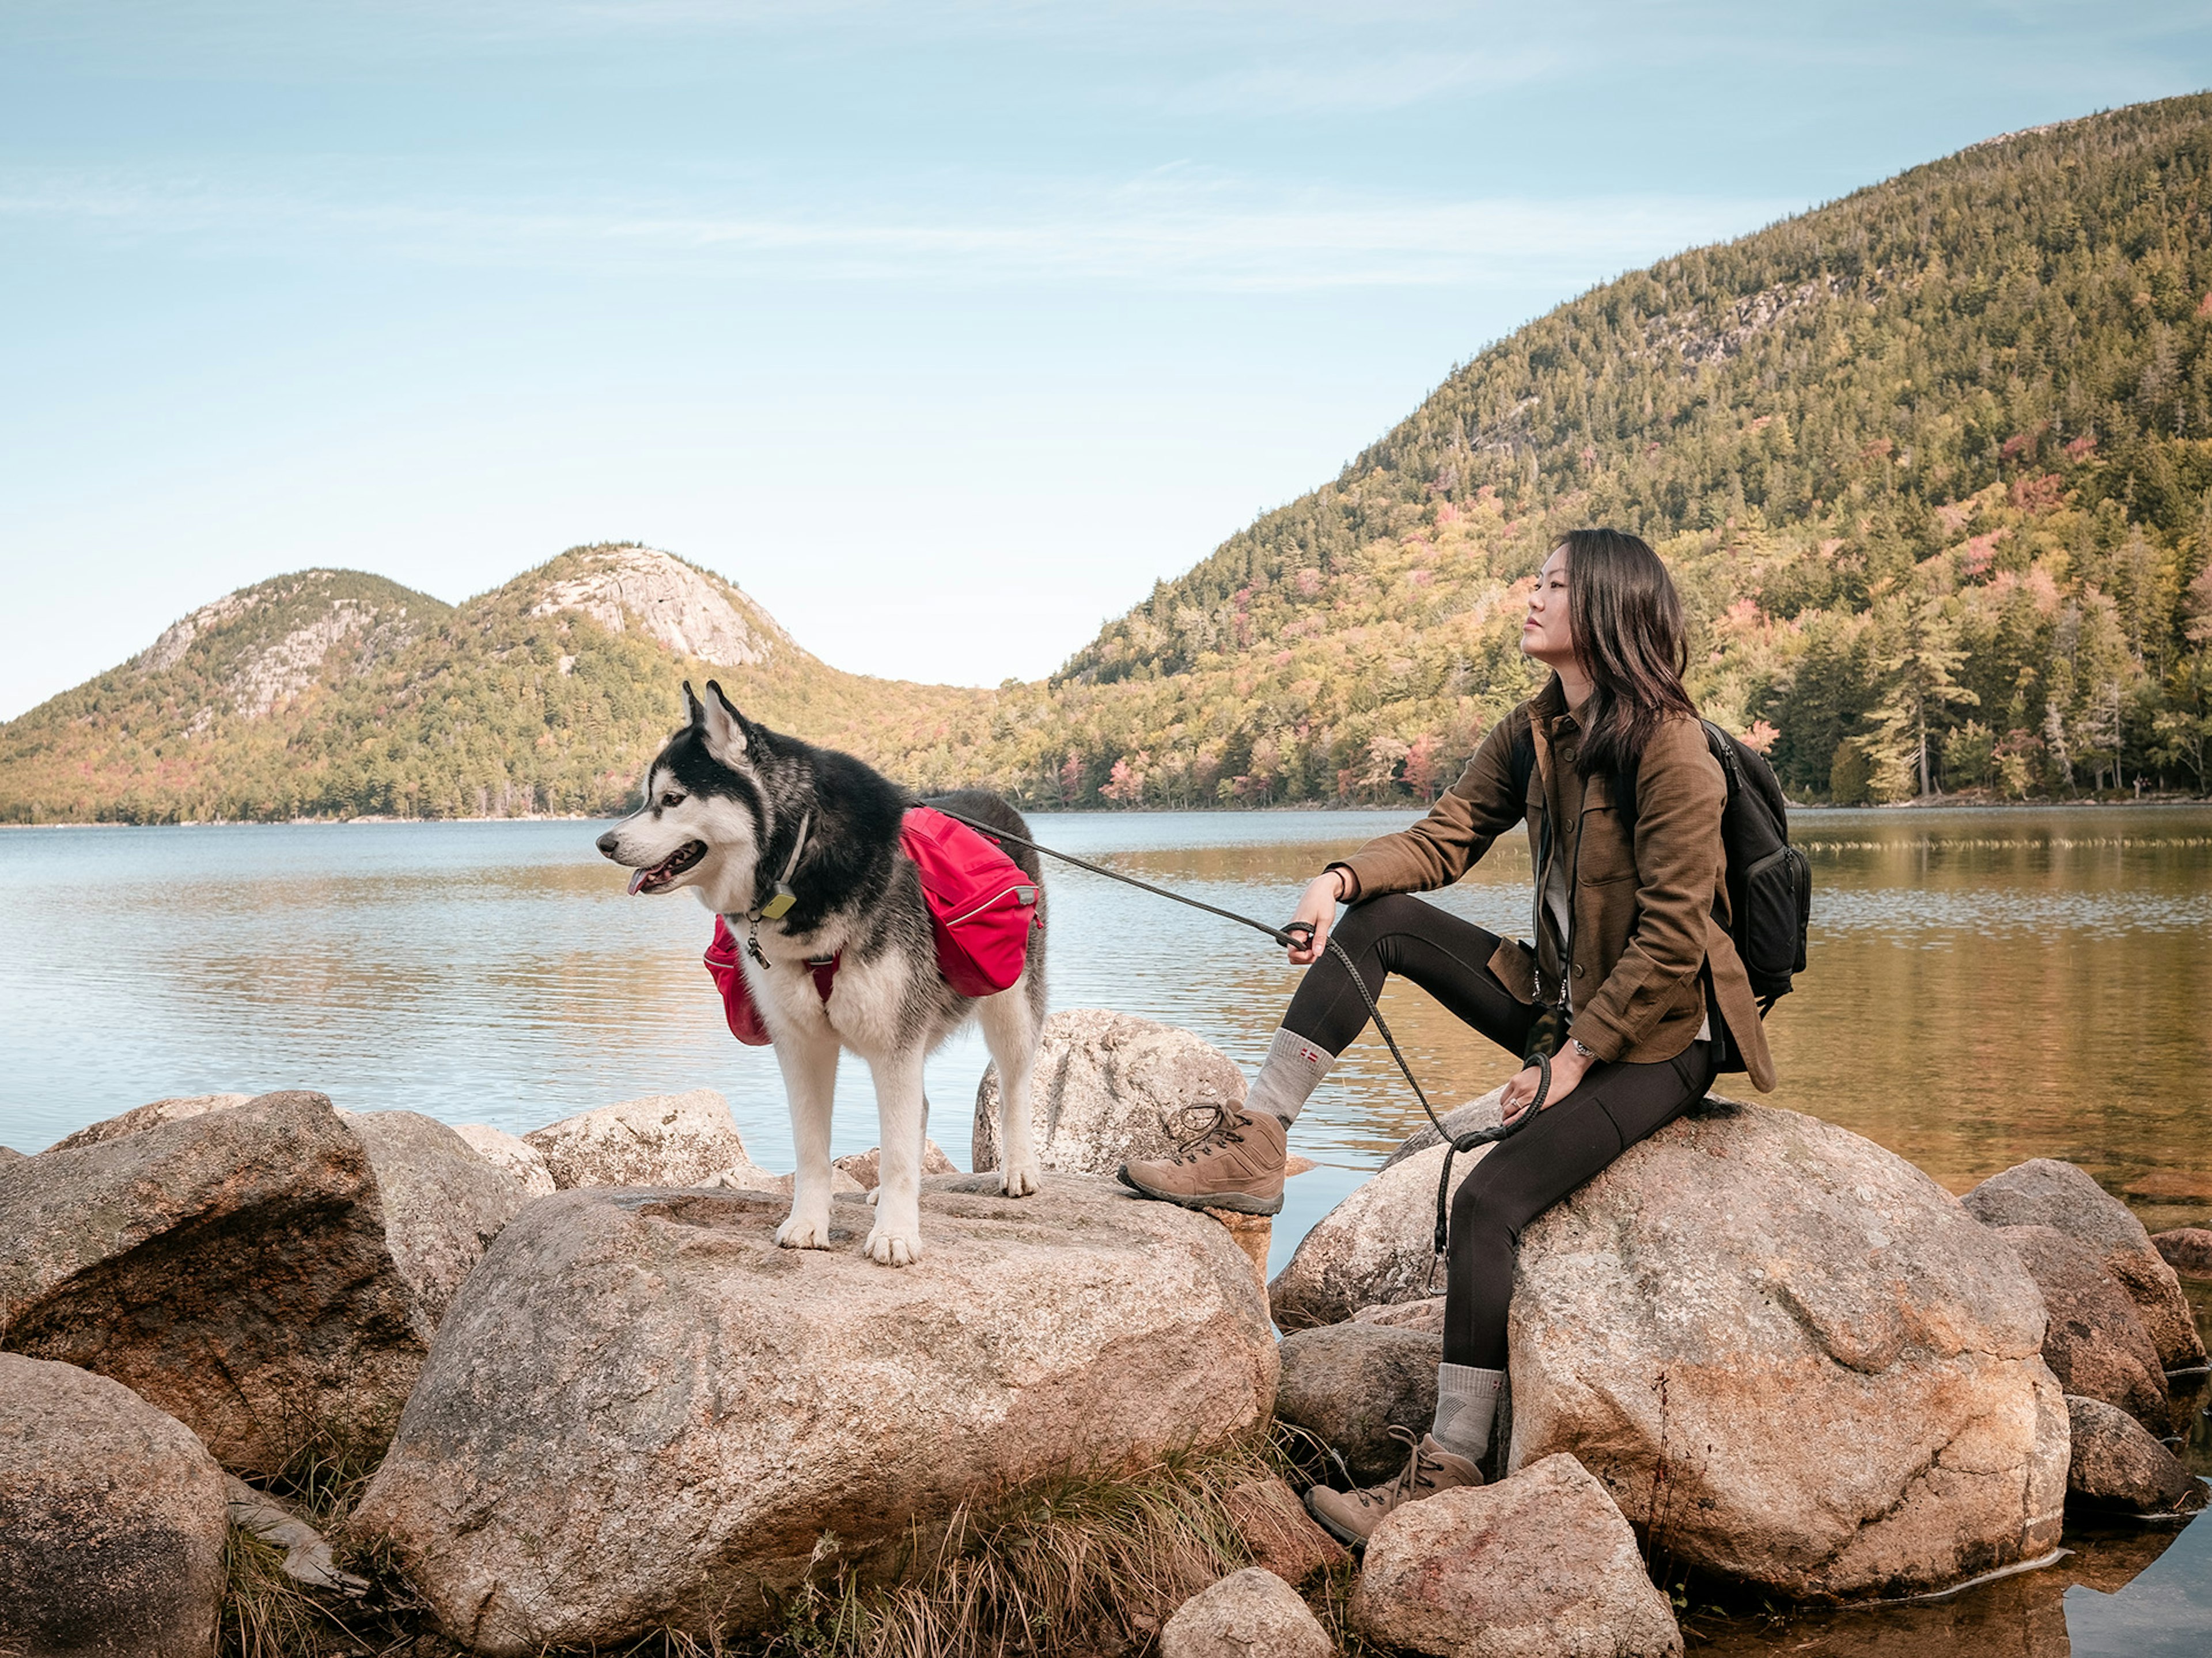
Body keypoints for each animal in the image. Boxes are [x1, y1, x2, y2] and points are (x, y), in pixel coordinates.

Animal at [593, 681, 1048, 1264]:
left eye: (673, 799)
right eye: (648, 798)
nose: (605, 843)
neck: (798, 861)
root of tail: (996, 800)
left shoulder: (894, 1038)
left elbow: (897, 1153)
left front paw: (896, 1232)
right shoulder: (800, 1044)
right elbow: (813, 1150)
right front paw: (809, 1223)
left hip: (1009, 1005)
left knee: (1013, 1084)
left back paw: (1019, 1169)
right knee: (920, 1105)